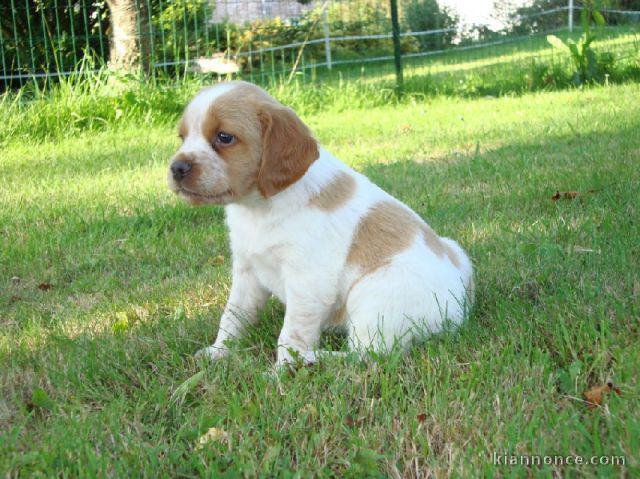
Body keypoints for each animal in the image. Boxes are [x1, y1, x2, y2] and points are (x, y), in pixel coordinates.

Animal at [168, 82, 472, 368]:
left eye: (224, 137)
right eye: (182, 137)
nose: (176, 168)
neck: (258, 208)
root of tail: (459, 311)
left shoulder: (308, 282)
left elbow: (290, 333)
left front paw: (281, 370)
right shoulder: (247, 271)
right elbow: (232, 316)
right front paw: (218, 352)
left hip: (374, 295)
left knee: (367, 354)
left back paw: (310, 359)